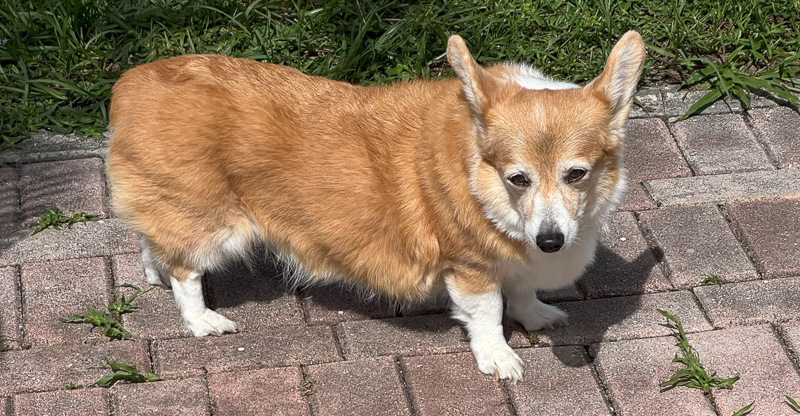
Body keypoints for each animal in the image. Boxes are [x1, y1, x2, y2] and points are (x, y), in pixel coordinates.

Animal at [106, 31, 645, 382]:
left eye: (576, 174)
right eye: (518, 178)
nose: (550, 241)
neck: (479, 176)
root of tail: (133, 80)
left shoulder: (513, 255)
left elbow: (522, 291)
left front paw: (535, 316)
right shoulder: (470, 266)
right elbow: (489, 312)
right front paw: (498, 358)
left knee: (152, 240)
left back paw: (153, 273)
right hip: (211, 220)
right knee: (185, 269)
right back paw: (201, 321)